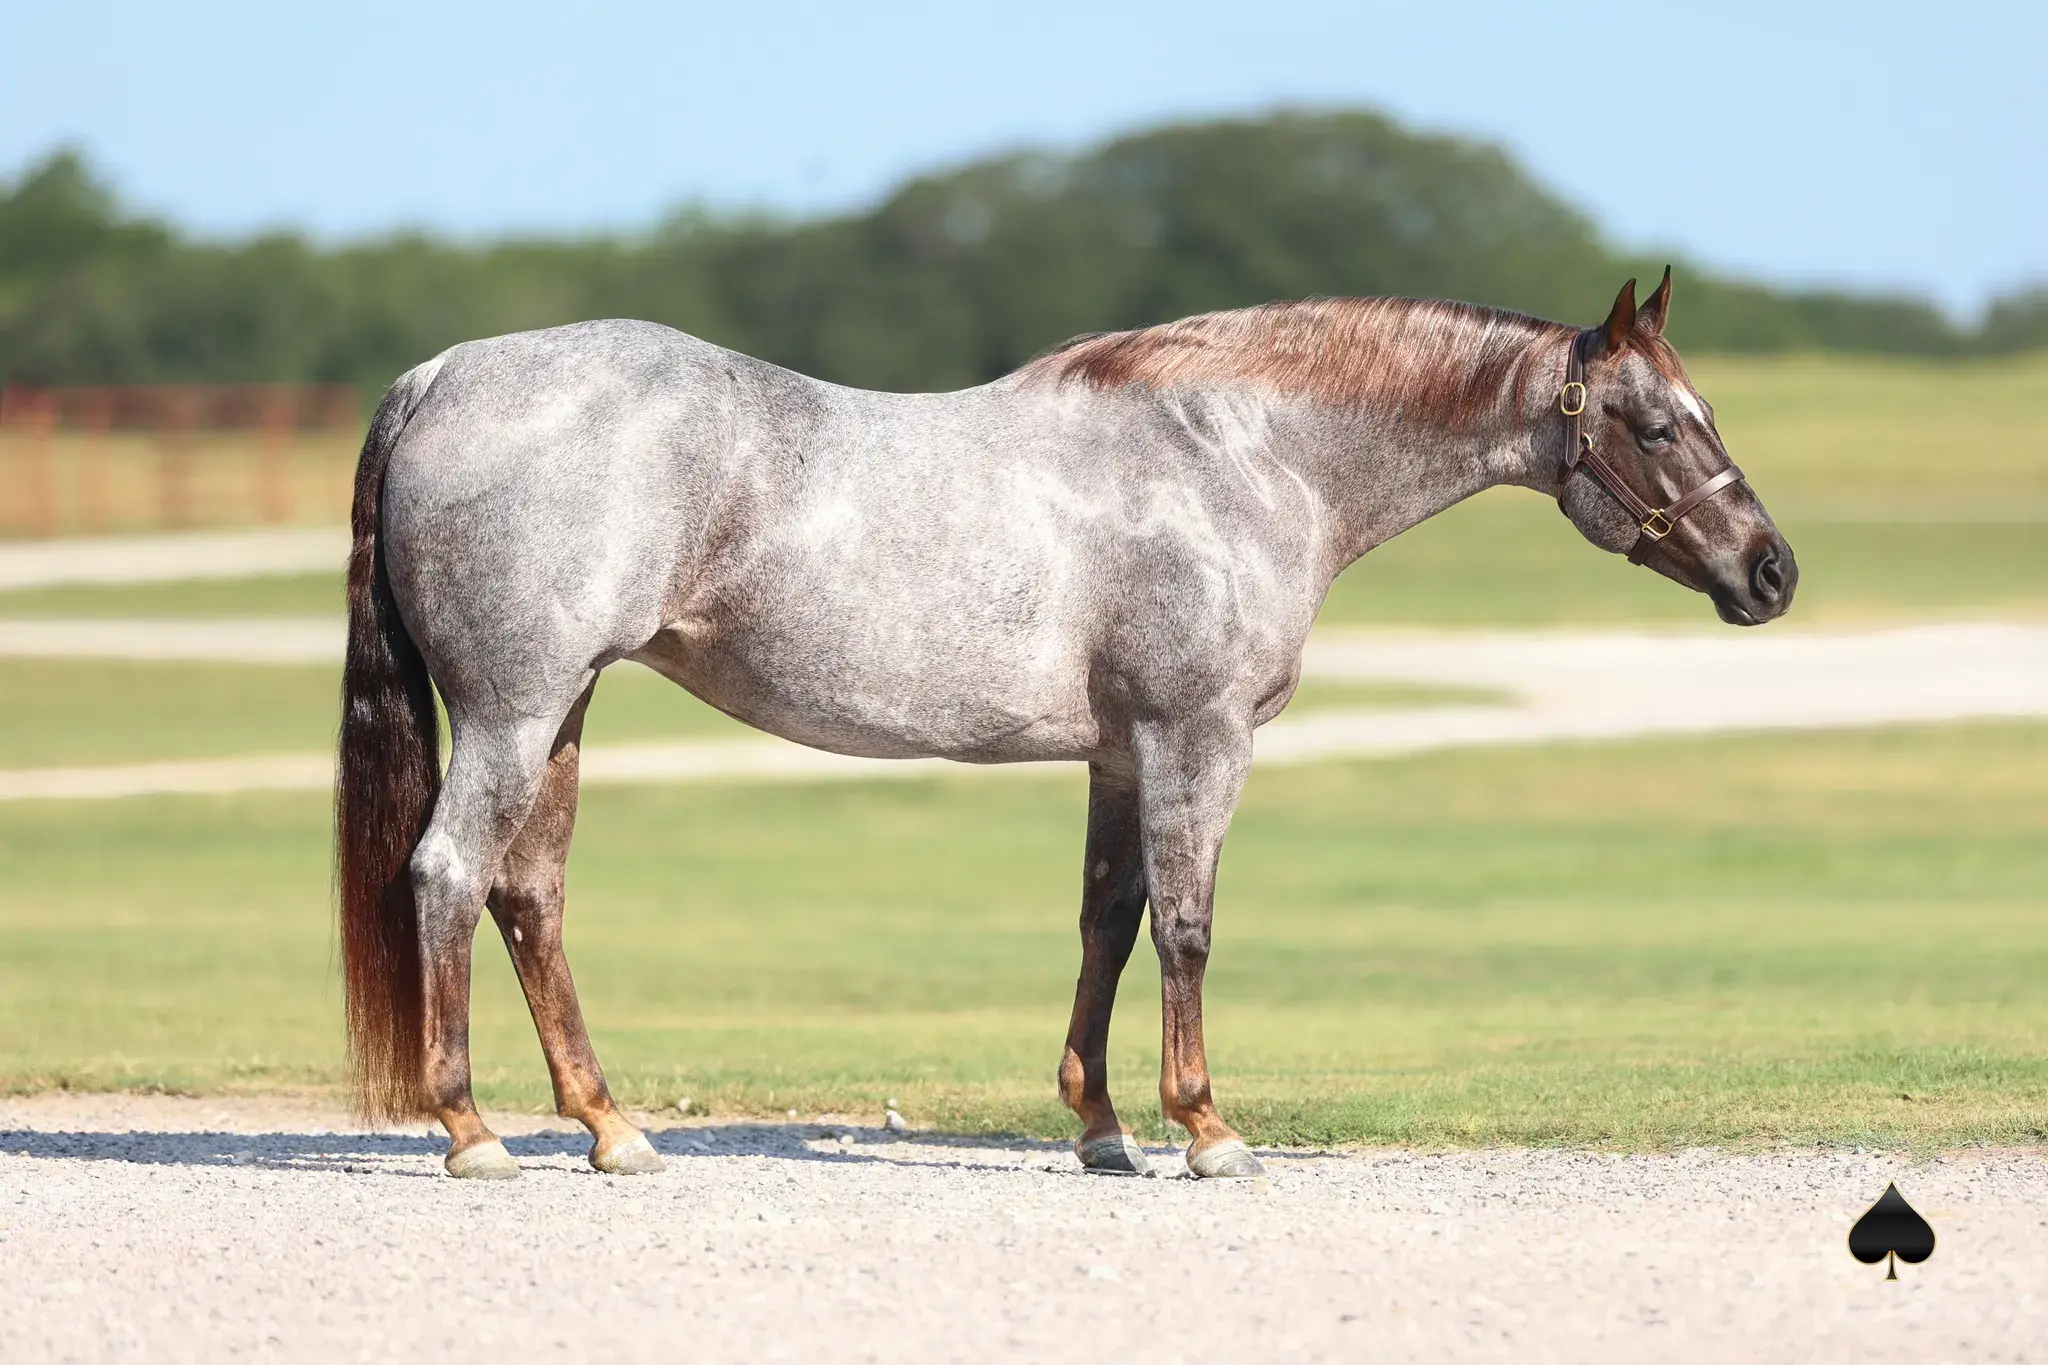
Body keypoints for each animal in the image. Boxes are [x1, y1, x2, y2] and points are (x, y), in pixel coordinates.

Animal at [336, 270, 1796, 1180]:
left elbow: (1109, 920)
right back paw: (472, 1133)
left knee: (530, 897)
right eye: (1657, 426)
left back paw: (611, 1128)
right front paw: (1204, 1128)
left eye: (1705, 414)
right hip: (517, 712)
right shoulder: (1198, 737)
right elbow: (1189, 925)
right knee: (450, 877)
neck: (1239, 454)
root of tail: (438, 377)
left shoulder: (1118, 752)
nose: (1772, 572)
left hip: (562, 711)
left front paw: (1099, 1126)